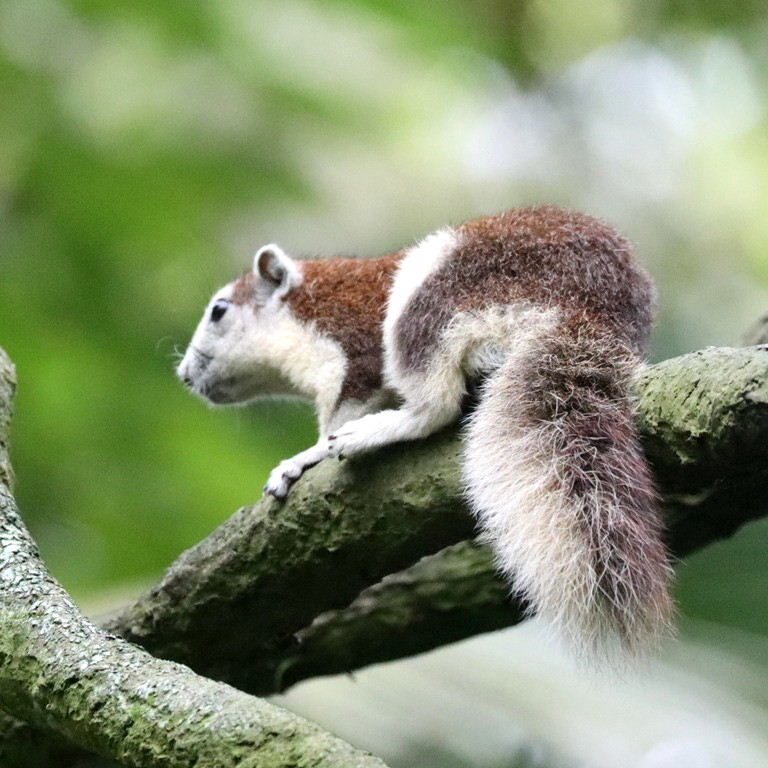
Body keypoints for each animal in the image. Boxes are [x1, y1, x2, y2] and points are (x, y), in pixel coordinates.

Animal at [177, 205, 674, 663]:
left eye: (219, 311)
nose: (183, 375)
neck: (307, 308)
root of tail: (593, 311)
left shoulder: (353, 349)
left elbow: (342, 410)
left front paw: (306, 457)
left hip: (437, 298)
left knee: (435, 404)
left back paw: (379, 429)